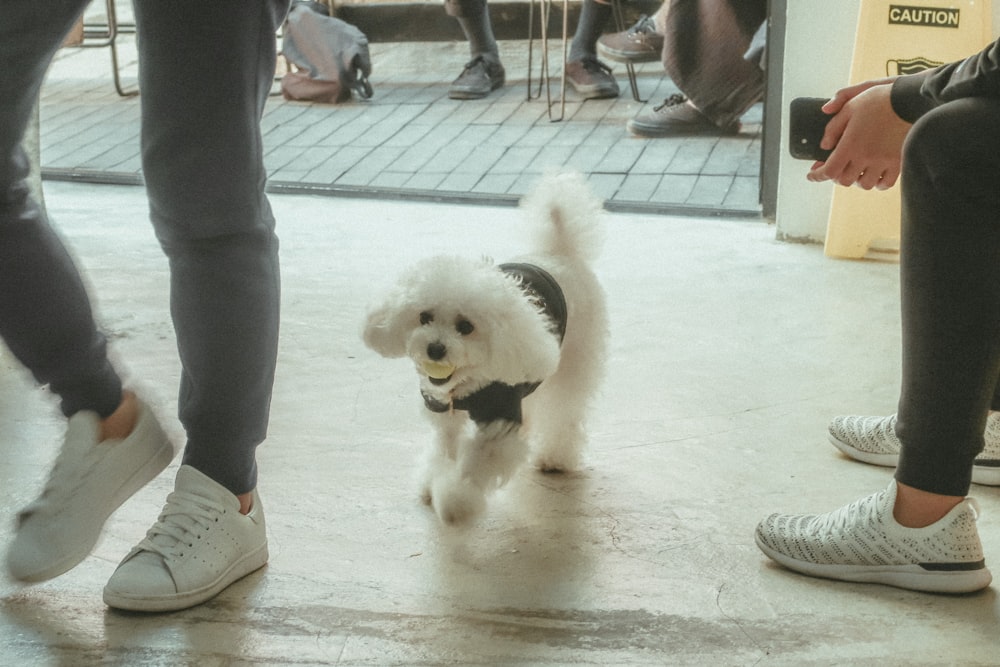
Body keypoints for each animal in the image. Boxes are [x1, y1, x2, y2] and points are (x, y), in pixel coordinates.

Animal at [362, 172, 604, 528]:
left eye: (466, 326)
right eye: (424, 317)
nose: (435, 349)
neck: (464, 388)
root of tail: (559, 250)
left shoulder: (499, 423)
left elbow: (475, 466)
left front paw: (455, 502)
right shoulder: (444, 415)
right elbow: (443, 452)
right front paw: (433, 482)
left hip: (574, 362)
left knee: (565, 412)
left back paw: (556, 457)